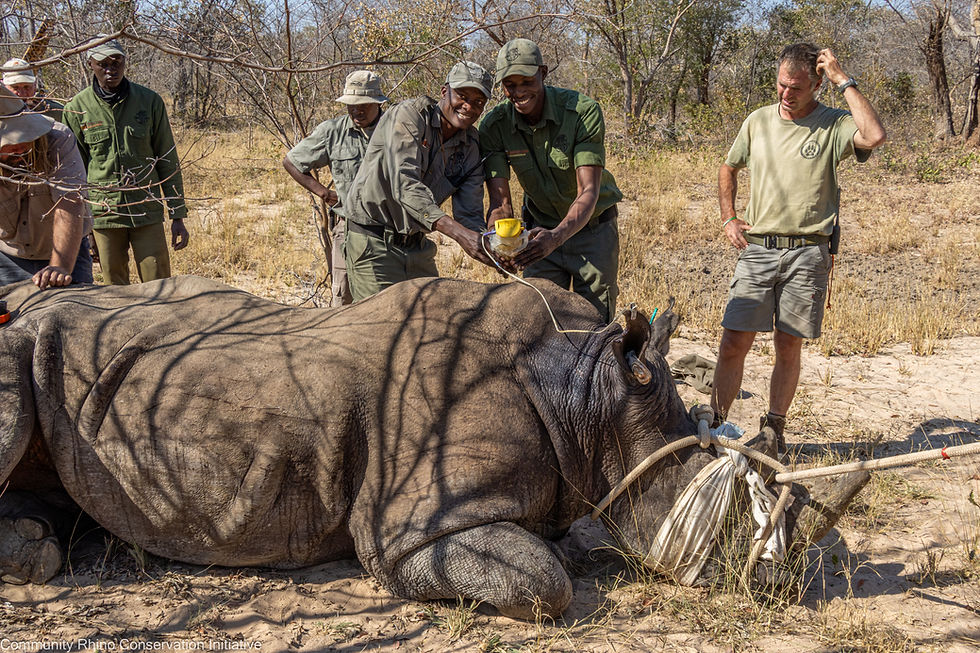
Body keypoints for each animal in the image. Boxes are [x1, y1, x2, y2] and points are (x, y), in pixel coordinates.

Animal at [0, 276, 867, 618]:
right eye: (725, 514)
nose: (780, 585)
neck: (588, 391)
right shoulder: (409, 524)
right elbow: (546, 580)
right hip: (24, 338)